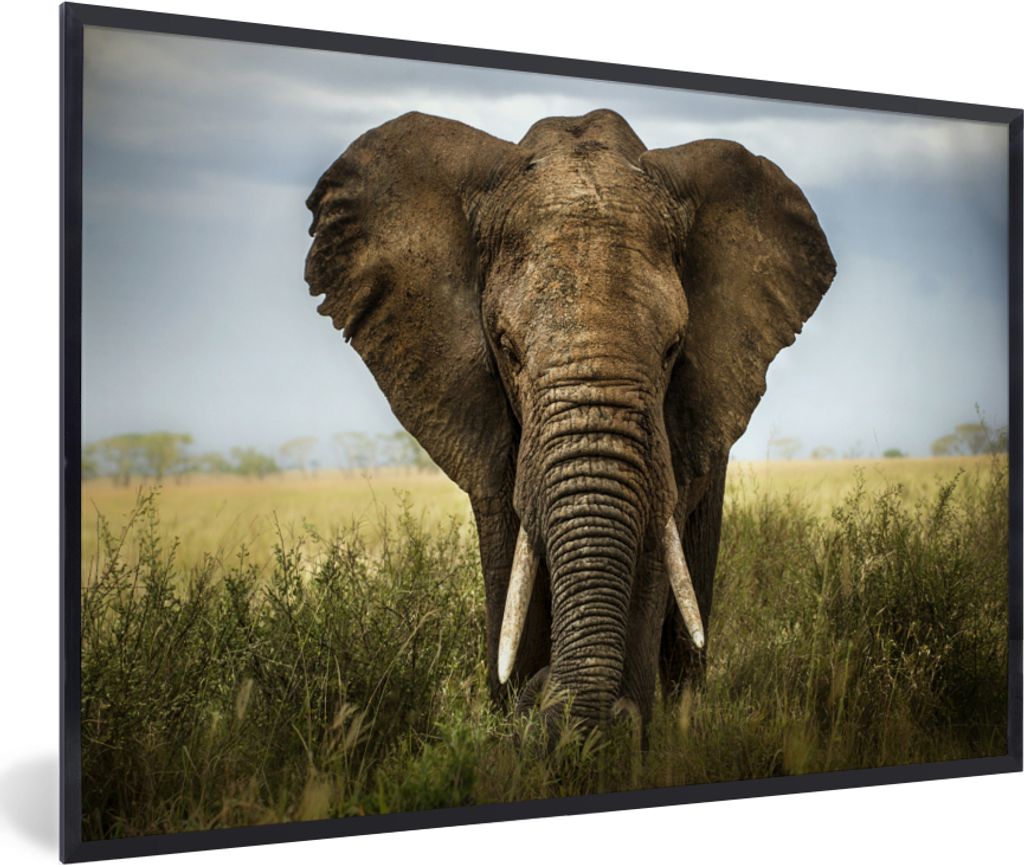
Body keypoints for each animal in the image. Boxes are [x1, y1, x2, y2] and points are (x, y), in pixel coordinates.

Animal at [304, 108, 835, 731]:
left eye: (673, 349)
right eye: (506, 348)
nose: (544, 694)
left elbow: (653, 552)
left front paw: (613, 733)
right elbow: (510, 555)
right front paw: (517, 720)